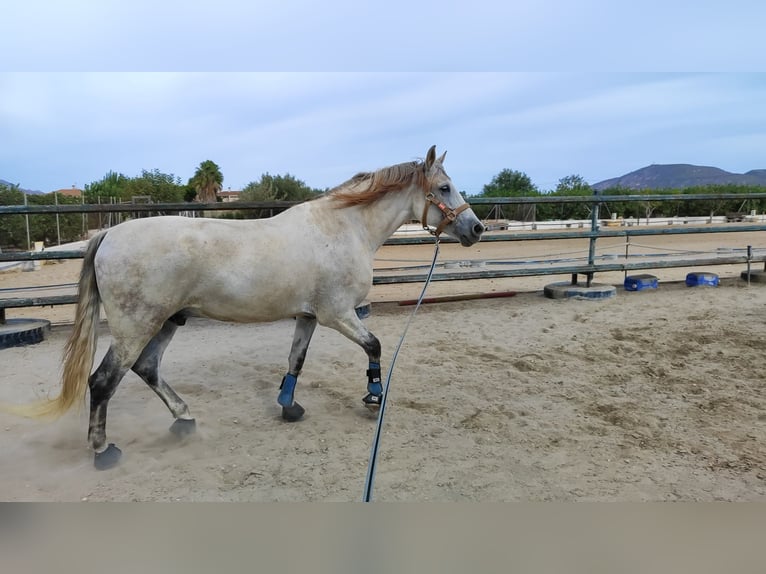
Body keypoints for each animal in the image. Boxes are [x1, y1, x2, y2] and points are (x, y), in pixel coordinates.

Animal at [7, 146, 486, 470]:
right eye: (444, 187)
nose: (477, 228)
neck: (343, 227)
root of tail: (109, 234)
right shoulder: (338, 315)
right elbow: (375, 346)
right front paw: (373, 396)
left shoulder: (308, 316)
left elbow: (295, 360)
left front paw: (289, 407)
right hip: (135, 325)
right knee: (103, 381)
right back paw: (104, 451)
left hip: (167, 321)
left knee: (147, 368)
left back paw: (184, 421)